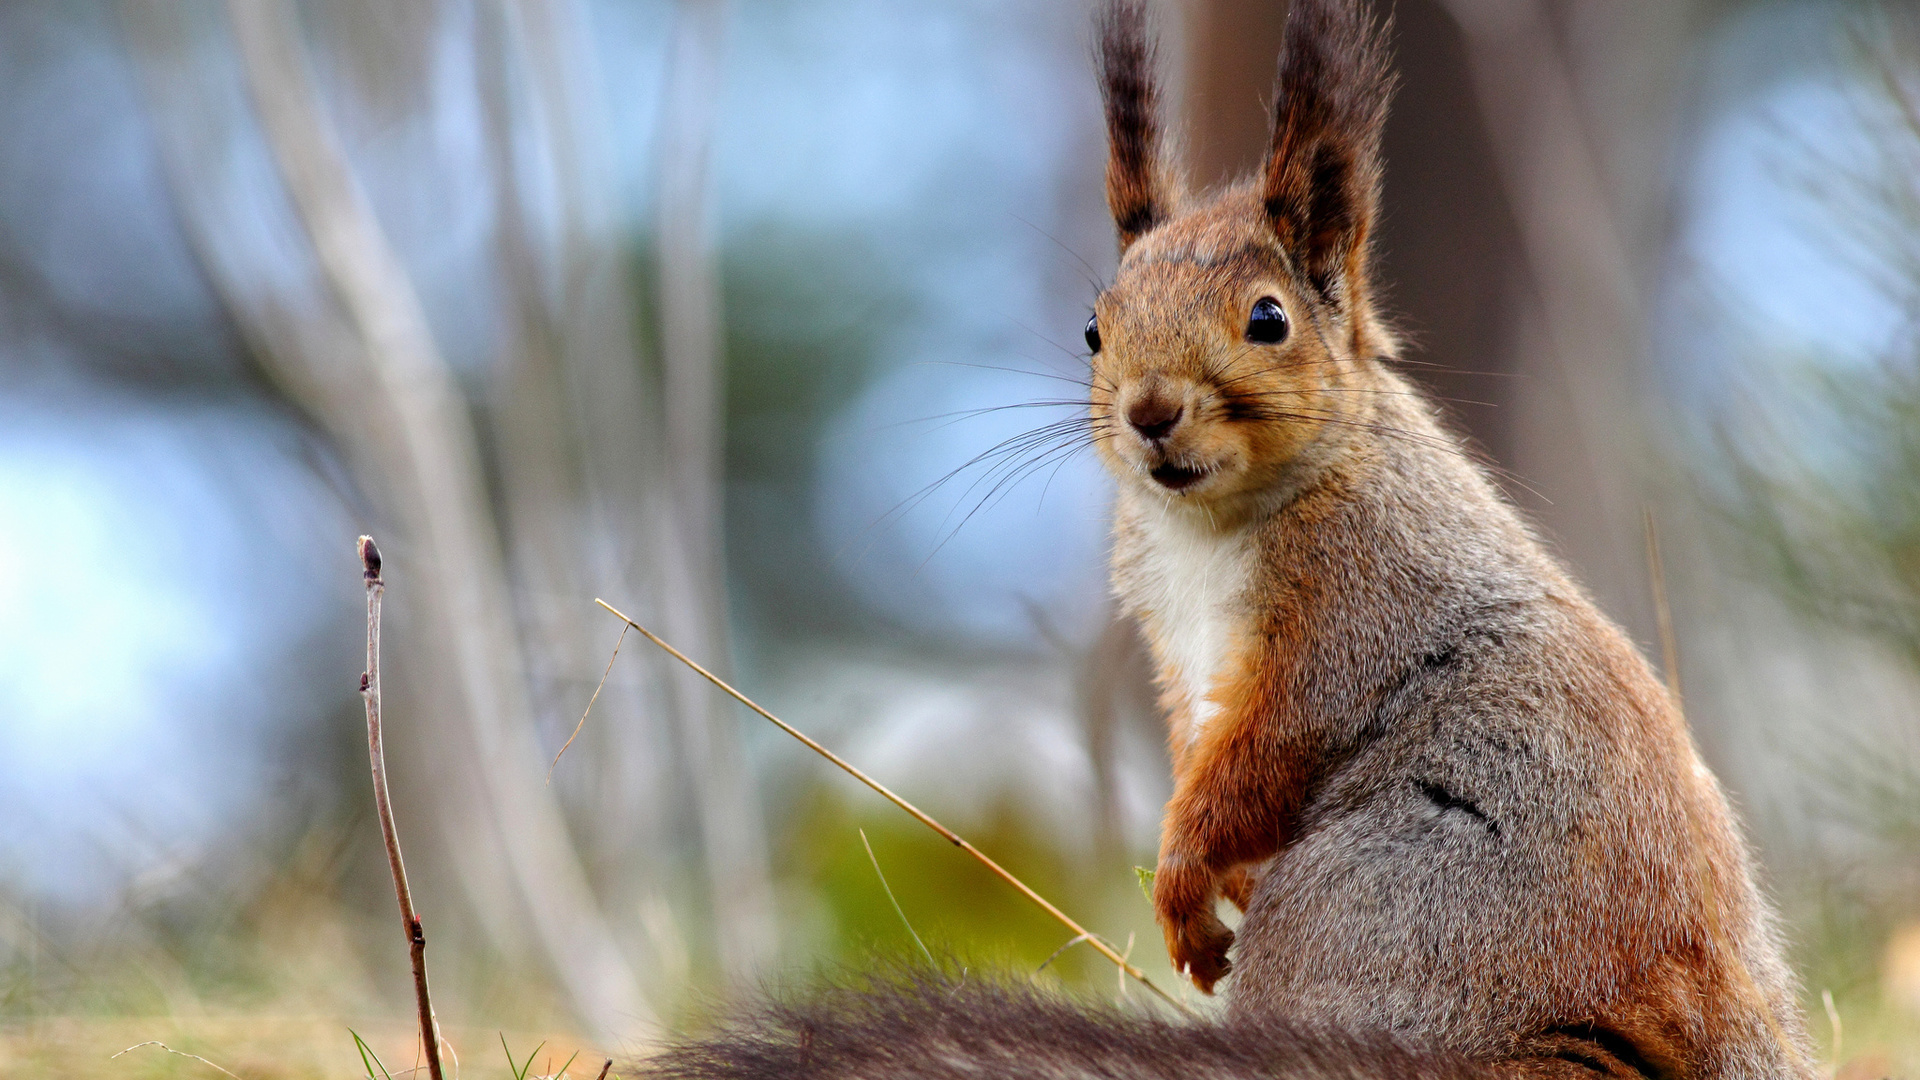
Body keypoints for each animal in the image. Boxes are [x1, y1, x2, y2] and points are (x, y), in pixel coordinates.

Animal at [641, 0, 1812, 1068]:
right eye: (1094, 328)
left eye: (1268, 320)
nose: (1152, 410)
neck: (1211, 528)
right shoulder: (1177, 644)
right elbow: (1201, 746)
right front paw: (1202, 898)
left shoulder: (1353, 605)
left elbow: (1265, 751)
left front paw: (1179, 877)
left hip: (1390, 903)